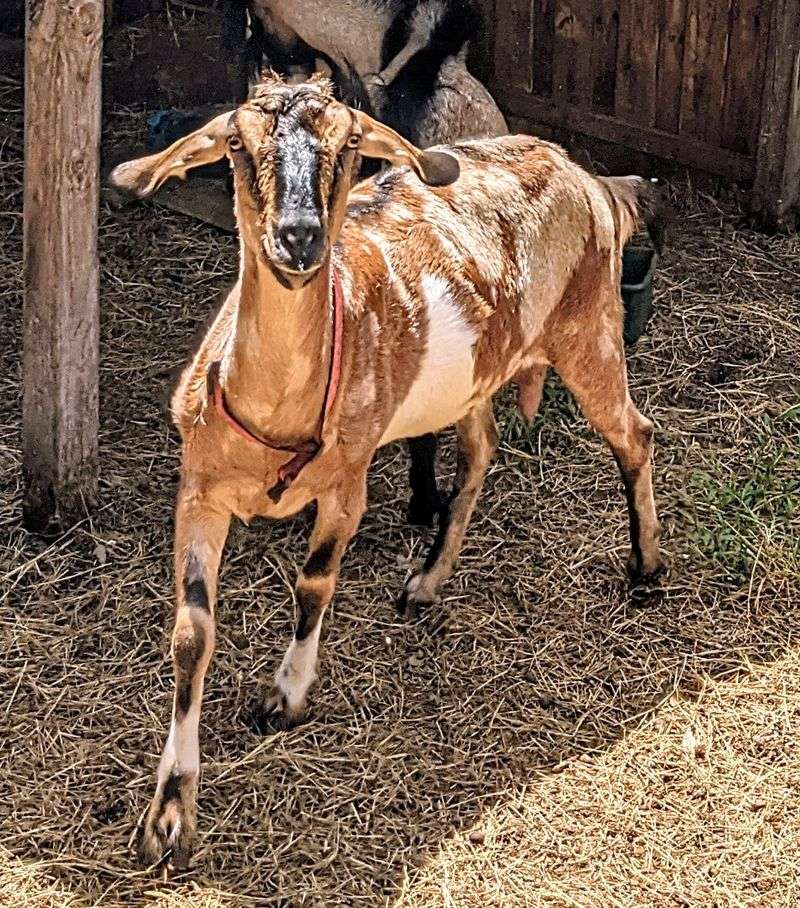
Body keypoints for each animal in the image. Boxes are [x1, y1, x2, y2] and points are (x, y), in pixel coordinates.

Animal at [110, 75, 665, 868]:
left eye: (349, 145)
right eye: (237, 145)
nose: (300, 235)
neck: (274, 415)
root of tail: (589, 177)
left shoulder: (348, 481)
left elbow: (314, 584)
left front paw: (286, 697)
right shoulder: (200, 492)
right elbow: (192, 634)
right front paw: (167, 816)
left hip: (590, 329)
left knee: (634, 435)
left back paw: (646, 567)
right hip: (478, 373)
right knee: (482, 447)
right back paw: (427, 581)